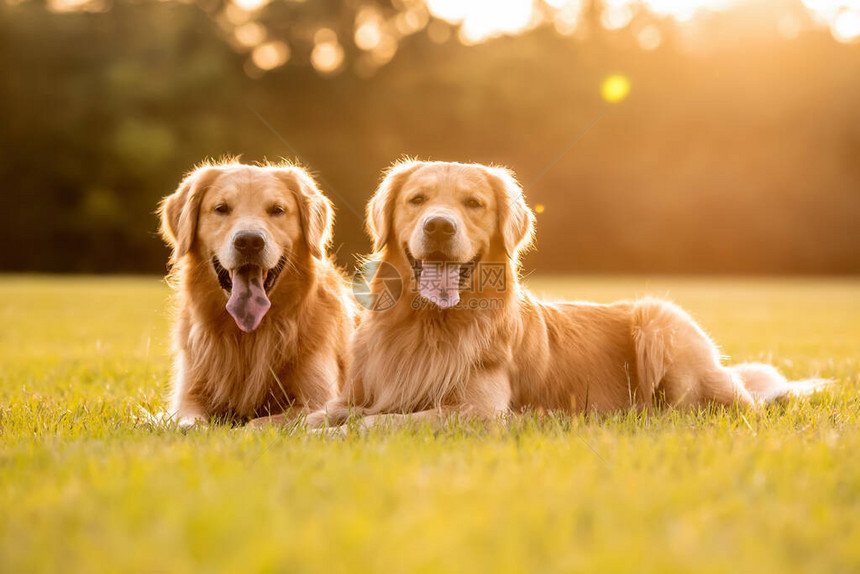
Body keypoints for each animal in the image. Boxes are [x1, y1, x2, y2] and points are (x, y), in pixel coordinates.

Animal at [160, 161, 354, 428]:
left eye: (277, 210)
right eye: (221, 208)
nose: (249, 241)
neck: (249, 335)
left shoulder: (317, 401)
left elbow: (257, 423)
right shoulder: (188, 395)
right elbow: (188, 421)